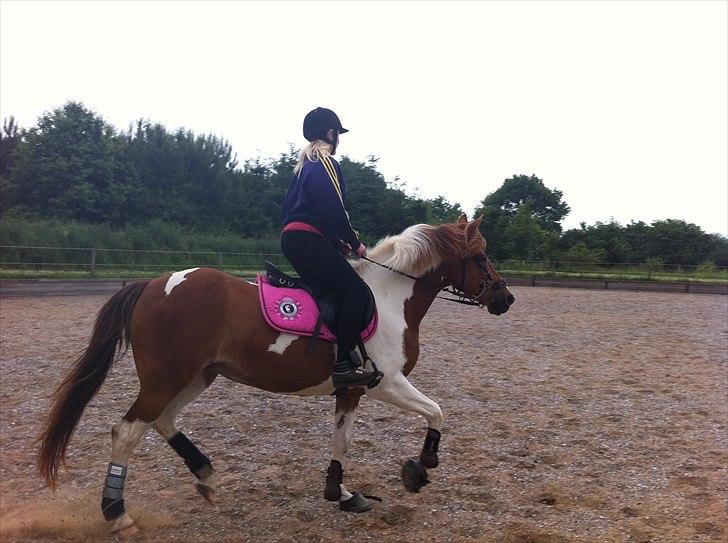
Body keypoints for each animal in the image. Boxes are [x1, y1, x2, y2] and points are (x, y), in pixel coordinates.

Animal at [36, 214, 514, 536]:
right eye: (480, 256)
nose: (506, 298)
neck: (387, 298)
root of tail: (154, 284)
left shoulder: (352, 391)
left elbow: (342, 440)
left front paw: (341, 494)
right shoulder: (388, 383)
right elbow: (436, 412)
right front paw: (420, 467)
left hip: (196, 377)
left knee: (161, 420)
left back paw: (205, 475)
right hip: (165, 379)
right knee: (126, 431)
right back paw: (117, 515)